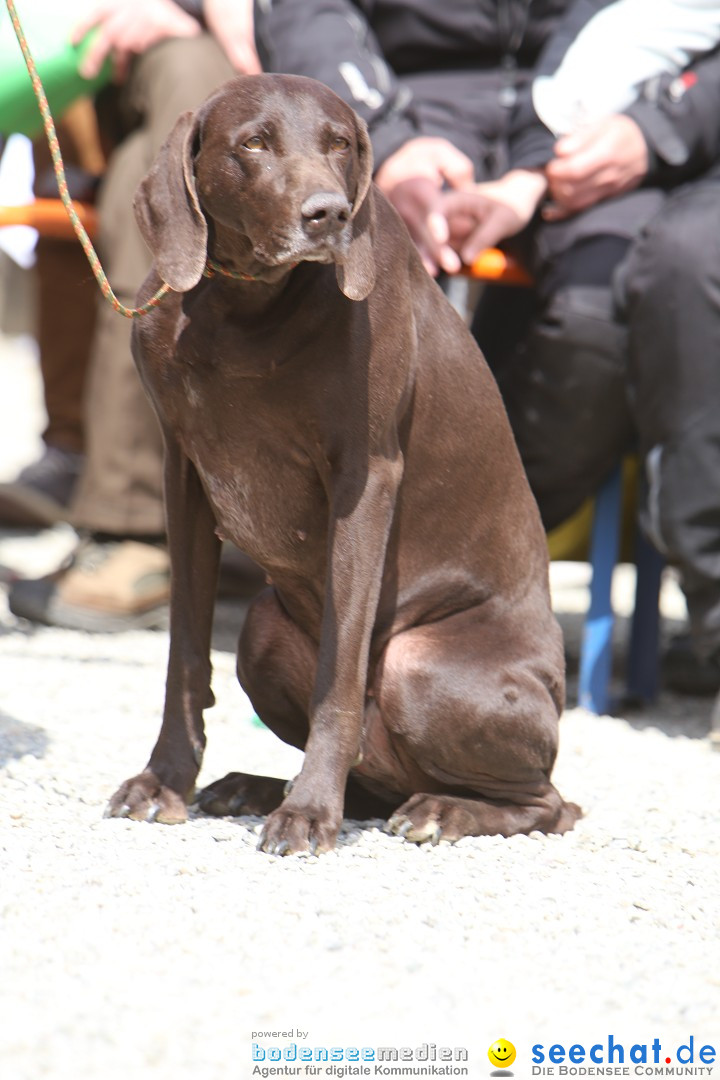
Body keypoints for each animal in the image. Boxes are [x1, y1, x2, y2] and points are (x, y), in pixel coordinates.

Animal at [105, 73, 578, 851]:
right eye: (254, 144)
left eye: (340, 145)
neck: (244, 304)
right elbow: (184, 653)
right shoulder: (185, 474)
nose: (326, 213)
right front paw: (166, 780)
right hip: (262, 630)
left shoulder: (364, 479)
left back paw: (439, 809)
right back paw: (256, 785)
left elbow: (341, 671)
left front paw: (308, 812)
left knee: (549, 803)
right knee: (375, 777)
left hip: (423, 668)